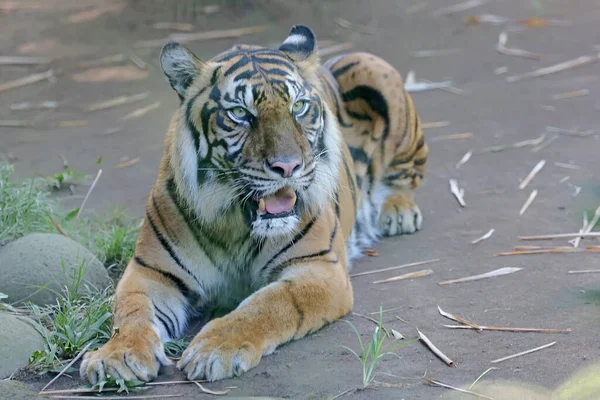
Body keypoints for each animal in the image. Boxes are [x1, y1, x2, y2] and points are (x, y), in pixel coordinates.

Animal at [81, 25, 426, 384]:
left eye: (299, 107)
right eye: (240, 114)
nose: (288, 166)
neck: (235, 223)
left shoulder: (318, 268)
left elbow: (269, 303)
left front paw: (215, 347)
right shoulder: (150, 272)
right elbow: (132, 311)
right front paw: (117, 355)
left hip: (374, 69)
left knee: (407, 176)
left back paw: (397, 212)